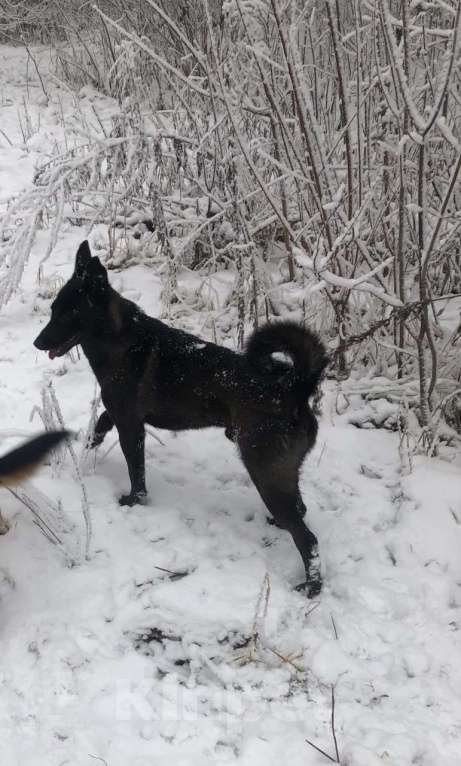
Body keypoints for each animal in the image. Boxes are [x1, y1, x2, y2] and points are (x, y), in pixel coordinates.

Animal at [34, 243, 328, 596]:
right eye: (54, 309)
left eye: (68, 313)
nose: (38, 343)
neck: (119, 339)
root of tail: (295, 387)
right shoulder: (119, 412)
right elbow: (101, 423)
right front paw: (89, 446)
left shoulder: (131, 425)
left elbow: (135, 468)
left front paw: (134, 500)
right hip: (281, 471)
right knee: (299, 511)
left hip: (264, 469)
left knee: (307, 538)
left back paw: (312, 585)